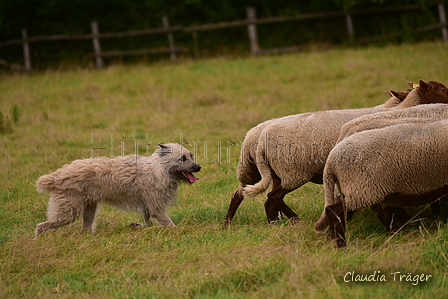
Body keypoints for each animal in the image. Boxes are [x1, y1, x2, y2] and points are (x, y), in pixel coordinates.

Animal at [35, 144, 201, 238]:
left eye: (191, 156)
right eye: (182, 158)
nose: (198, 167)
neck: (159, 170)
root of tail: (58, 175)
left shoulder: (148, 208)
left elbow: (148, 223)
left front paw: (137, 227)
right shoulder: (157, 209)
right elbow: (170, 225)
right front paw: (179, 231)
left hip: (89, 209)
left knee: (85, 228)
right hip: (68, 213)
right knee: (41, 226)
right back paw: (37, 240)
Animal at [222, 89, 408, 227]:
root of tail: (257, 139)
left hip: (262, 172)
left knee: (242, 194)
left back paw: (233, 224)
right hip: (292, 172)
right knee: (272, 197)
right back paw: (292, 220)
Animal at [316, 119, 448, 248]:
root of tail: (331, 161)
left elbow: (435, 205)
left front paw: (438, 223)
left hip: (358, 190)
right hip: (361, 190)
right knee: (334, 211)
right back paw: (342, 244)